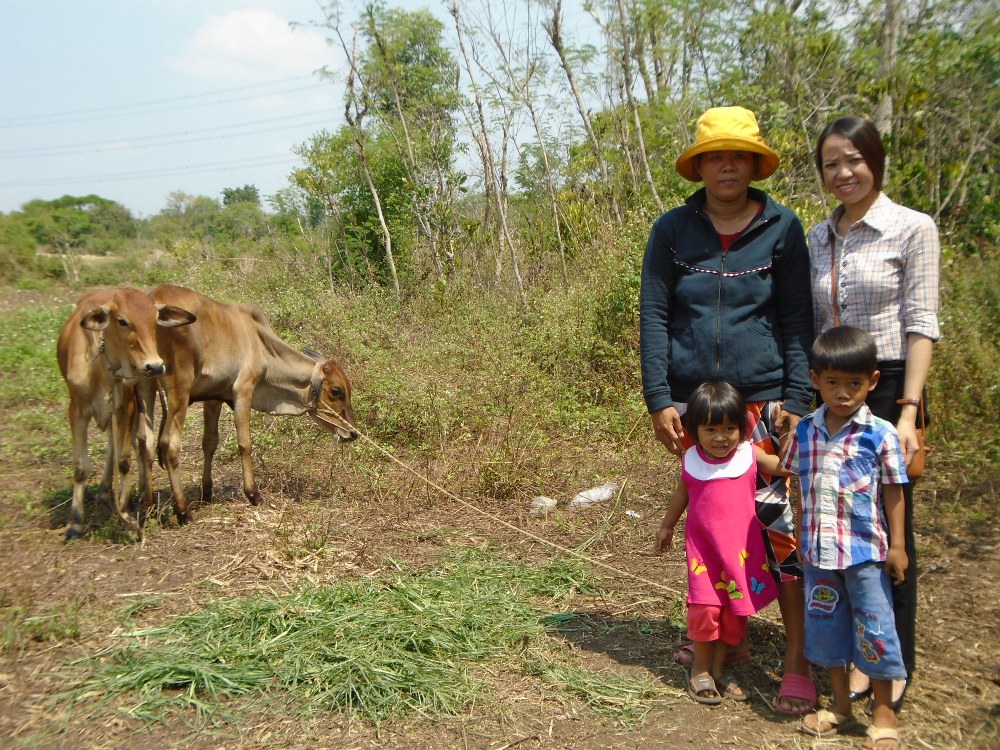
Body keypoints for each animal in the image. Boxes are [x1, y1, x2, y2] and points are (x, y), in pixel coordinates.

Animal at [56, 288, 195, 540]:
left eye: (154, 320)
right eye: (122, 321)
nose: (154, 366)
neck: (102, 366)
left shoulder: (125, 405)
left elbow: (124, 460)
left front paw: (127, 514)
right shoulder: (77, 410)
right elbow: (80, 467)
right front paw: (74, 524)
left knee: (132, 445)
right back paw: (107, 493)